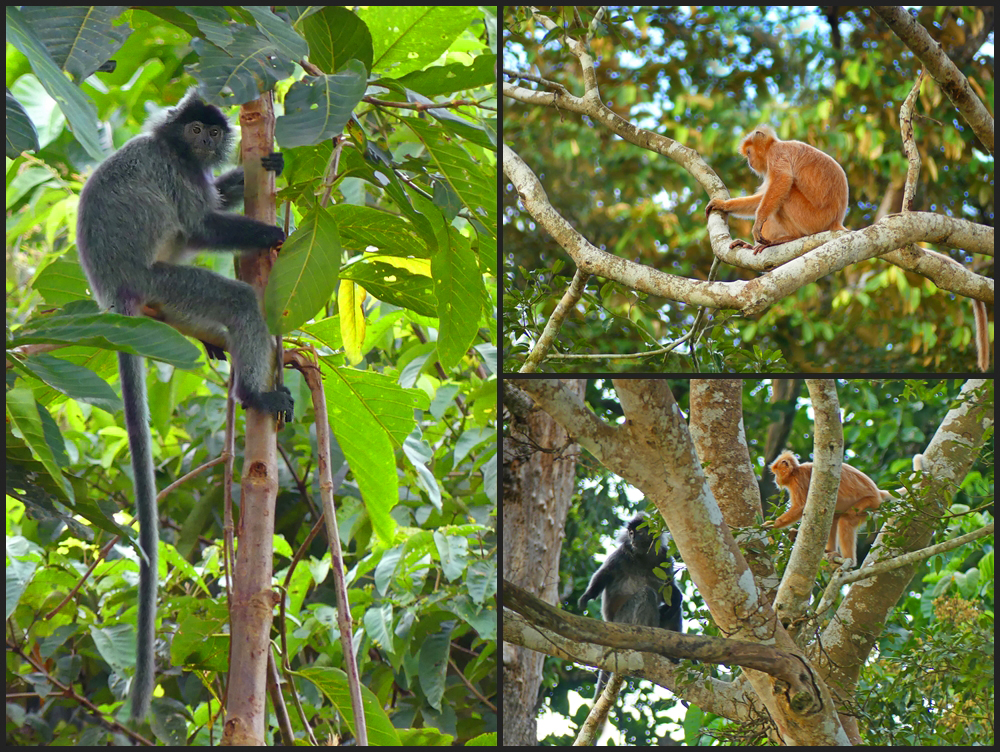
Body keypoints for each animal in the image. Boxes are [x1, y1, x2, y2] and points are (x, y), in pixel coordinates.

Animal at [75, 91, 292, 720]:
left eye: (210, 132)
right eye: (194, 130)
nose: (203, 141)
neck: (172, 147)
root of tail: (113, 292)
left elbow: (211, 207)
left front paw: (263, 169)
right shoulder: (176, 173)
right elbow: (199, 225)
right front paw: (272, 234)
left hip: (166, 300)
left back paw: (218, 349)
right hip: (162, 282)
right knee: (237, 299)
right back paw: (254, 392)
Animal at [576, 516, 684, 696]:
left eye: (638, 532)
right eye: (630, 533)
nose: (632, 539)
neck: (644, 556)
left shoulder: (663, 558)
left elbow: (668, 589)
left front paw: (677, 598)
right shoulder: (622, 553)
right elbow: (604, 574)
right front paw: (587, 597)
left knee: (674, 610)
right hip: (623, 621)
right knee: (646, 593)